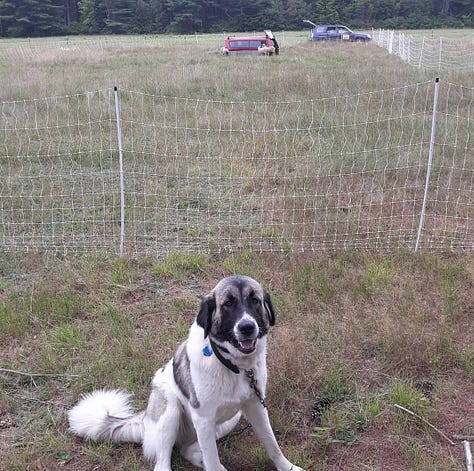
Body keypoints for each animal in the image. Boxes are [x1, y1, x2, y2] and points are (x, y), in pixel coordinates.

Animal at [67, 276, 304, 471]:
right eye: (228, 304)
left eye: (255, 300)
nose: (247, 327)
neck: (233, 366)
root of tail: (144, 418)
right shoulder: (203, 418)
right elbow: (212, 460)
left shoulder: (256, 407)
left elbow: (272, 445)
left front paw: (288, 467)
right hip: (171, 411)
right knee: (164, 464)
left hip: (228, 421)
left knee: (188, 450)